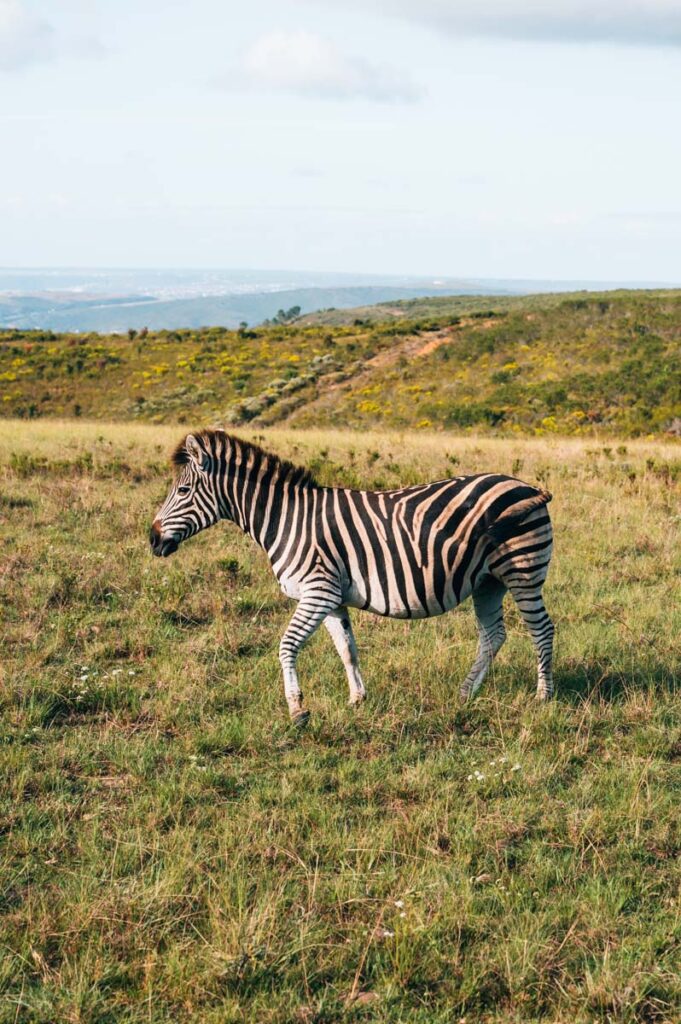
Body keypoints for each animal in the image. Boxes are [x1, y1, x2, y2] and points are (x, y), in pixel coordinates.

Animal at [150, 430, 554, 725]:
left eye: (182, 491)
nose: (152, 540)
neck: (285, 518)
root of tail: (528, 485)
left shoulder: (318, 591)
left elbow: (286, 645)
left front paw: (297, 710)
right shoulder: (331, 597)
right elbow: (348, 649)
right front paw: (357, 699)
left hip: (522, 571)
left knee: (542, 629)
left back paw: (543, 696)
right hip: (488, 582)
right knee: (493, 636)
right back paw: (466, 693)